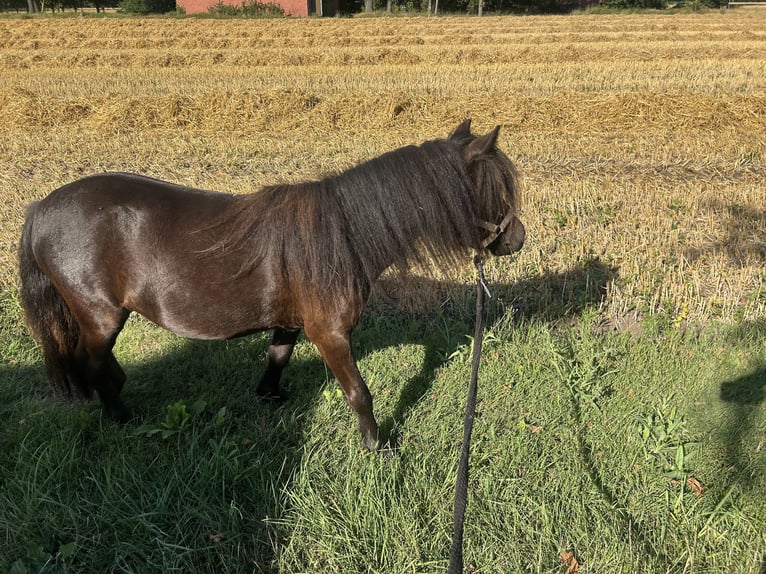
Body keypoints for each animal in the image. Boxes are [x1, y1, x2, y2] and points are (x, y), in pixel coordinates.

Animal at [17, 119, 525, 451]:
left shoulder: (290, 322)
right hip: (100, 315)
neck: (344, 234)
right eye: (497, 191)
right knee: (92, 363)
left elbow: (277, 358)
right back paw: (121, 417)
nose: (518, 238)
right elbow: (359, 394)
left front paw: (271, 398)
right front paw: (376, 447)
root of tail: (41, 207)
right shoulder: (330, 334)